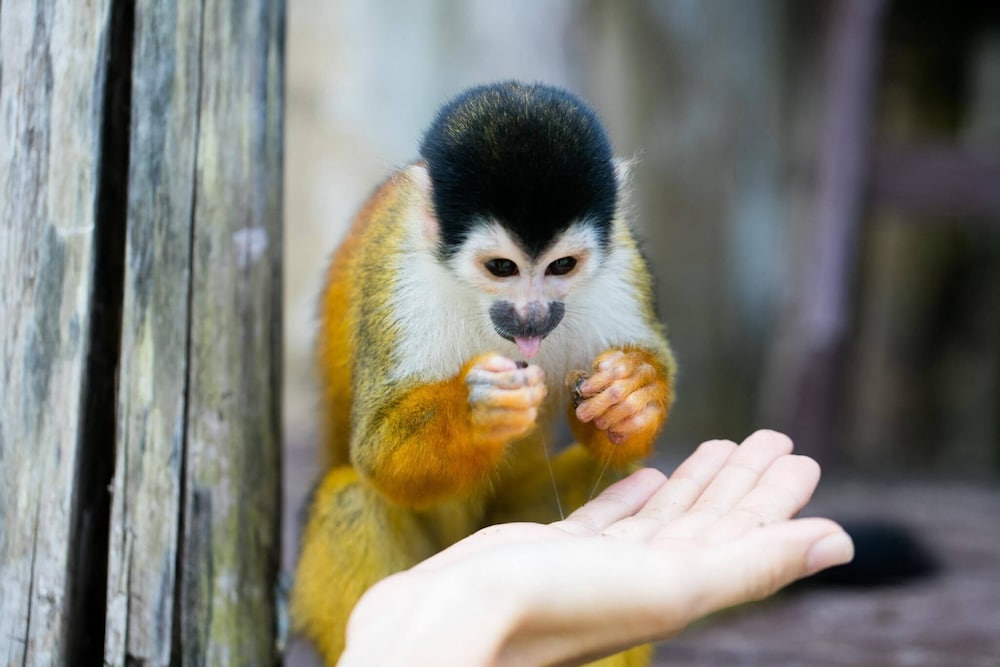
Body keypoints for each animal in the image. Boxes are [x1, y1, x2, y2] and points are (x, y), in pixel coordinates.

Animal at [291, 81, 675, 666]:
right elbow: (377, 452)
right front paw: (477, 412)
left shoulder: (621, 259)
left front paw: (631, 392)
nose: (532, 315)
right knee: (349, 497)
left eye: (562, 266)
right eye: (501, 268)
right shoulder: (400, 276)